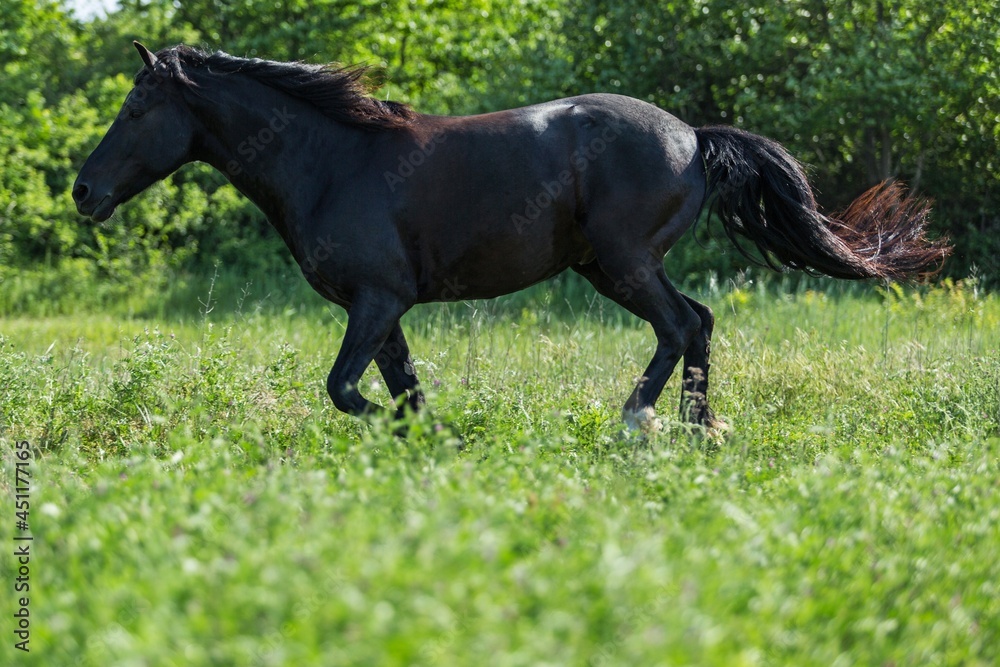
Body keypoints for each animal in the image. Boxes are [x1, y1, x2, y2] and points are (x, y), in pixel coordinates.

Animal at [74, 44, 948, 436]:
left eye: (137, 106)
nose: (84, 191)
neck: (332, 162)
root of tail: (693, 137)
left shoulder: (374, 301)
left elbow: (347, 390)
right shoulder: (387, 309)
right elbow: (401, 390)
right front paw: (430, 442)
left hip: (626, 264)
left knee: (680, 326)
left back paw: (642, 420)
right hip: (609, 268)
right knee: (699, 321)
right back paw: (701, 428)